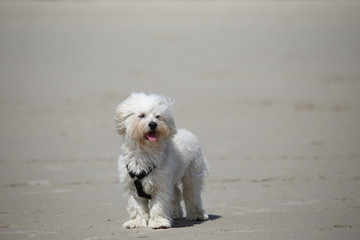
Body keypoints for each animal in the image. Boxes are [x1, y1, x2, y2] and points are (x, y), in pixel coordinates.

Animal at [114, 92, 210, 229]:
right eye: (141, 115)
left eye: (157, 116)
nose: (153, 124)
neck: (144, 152)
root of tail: (188, 133)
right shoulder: (132, 185)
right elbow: (136, 206)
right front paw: (137, 222)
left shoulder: (161, 184)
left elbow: (158, 204)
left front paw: (158, 222)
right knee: (176, 193)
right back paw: (175, 213)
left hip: (193, 174)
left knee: (192, 194)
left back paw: (197, 214)